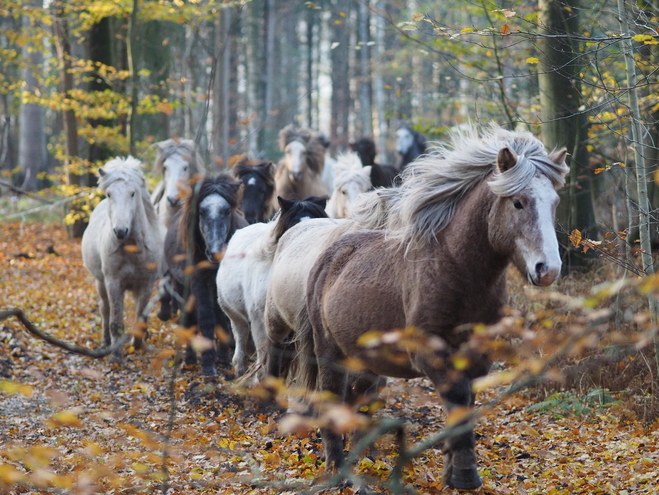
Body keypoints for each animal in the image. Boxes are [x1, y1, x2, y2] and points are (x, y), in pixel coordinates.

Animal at [81, 157, 164, 362]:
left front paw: (139, 346)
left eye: (132, 193)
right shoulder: (113, 282)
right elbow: (115, 320)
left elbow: (141, 316)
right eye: (109, 194)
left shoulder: (146, 283)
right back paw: (105, 343)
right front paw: (116, 357)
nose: (120, 231)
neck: (132, 248)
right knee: (105, 310)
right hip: (100, 283)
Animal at [302, 125, 568, 492]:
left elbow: (466, 404)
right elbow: (455, 398)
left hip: (364, 361)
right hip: (329, 353)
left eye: (555, 202)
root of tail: (330, 254)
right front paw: (464, 476)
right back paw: (337, 470)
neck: (459, 270)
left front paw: (454, 472)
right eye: (518, 202)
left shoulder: (479, 355)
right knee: (330, 401)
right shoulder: (431, 352)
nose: (548, 269)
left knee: (359, 402)